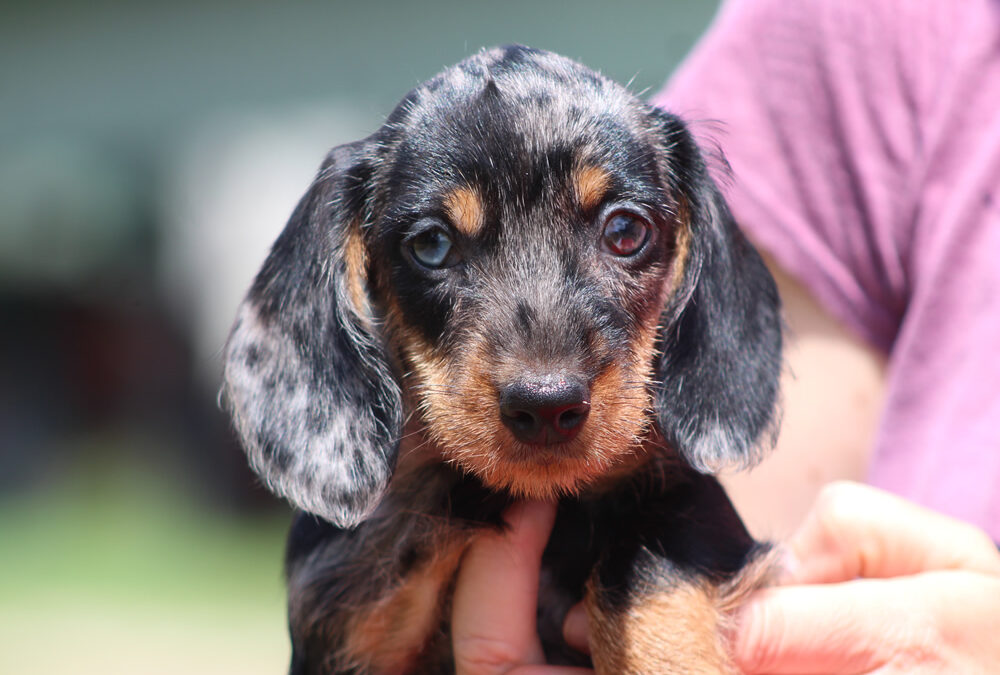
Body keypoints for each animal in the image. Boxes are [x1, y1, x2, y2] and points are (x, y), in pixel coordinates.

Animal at [223, 47, 784, 675]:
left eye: (624, 229)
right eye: (432, 244)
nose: (547, 408)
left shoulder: (684, 504)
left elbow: (642, 566)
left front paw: (668, 655)